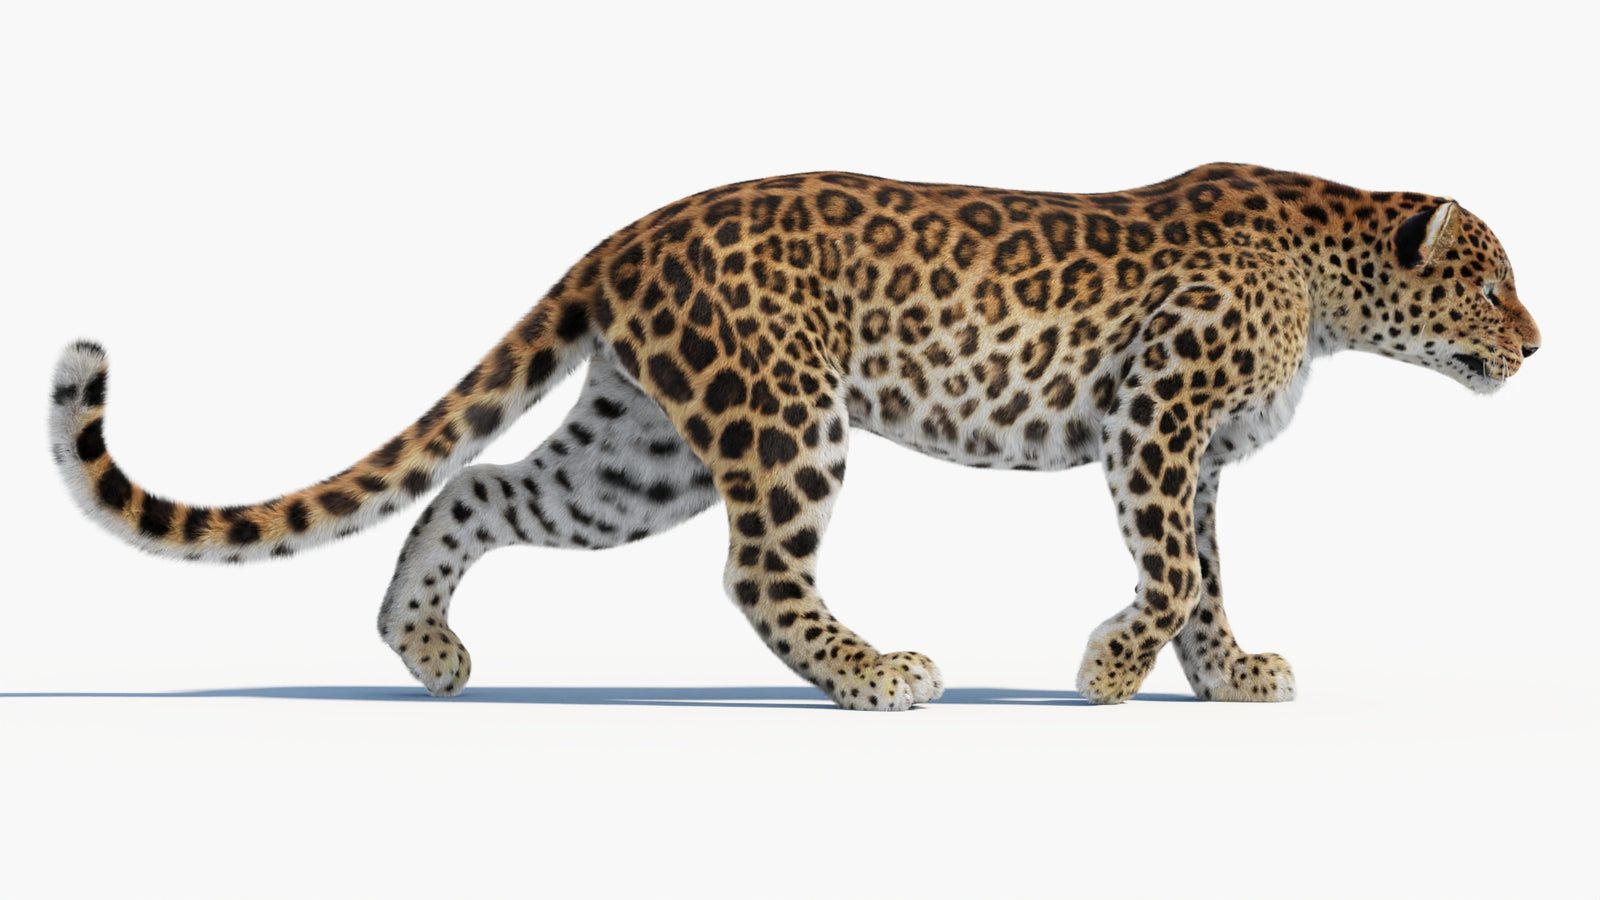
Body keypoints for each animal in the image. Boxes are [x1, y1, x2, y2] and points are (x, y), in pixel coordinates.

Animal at [48, 163, 1542, 709]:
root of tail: (629, 231)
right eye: (1489, 285)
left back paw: (425, 648)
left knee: (477, 487)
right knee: (757, 571)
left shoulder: (1199, 456)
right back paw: (877, 675)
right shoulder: (1157, 421)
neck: (1330, 278)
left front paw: (1228, 676)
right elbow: (1172, 572)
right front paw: (1112, 671)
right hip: (783, 417)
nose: (1536, 345)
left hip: (636, 453)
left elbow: (1210, 577)